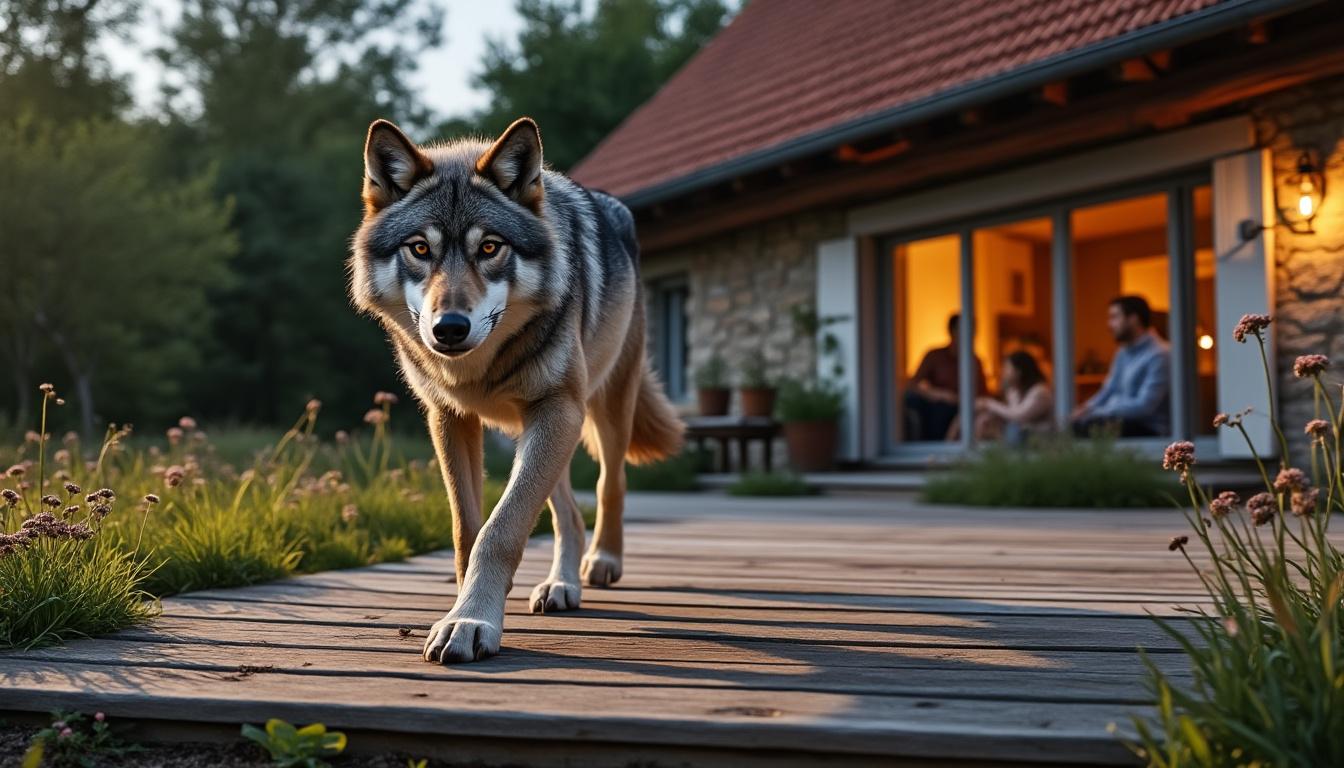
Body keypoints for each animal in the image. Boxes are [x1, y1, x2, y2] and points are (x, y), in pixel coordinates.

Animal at [347, 117, 684, 664]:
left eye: (489, 247)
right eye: (420, 248)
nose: (449, 329)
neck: (477, 371)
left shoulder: (557, 409)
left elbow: (500, 530)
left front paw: (470, 621)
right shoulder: (450, 418)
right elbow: (468, 529)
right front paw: (465, 606)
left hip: (598, 410)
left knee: (609, 484)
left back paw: (602, 561)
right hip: (541, 428)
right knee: (566, 511)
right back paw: (561, 585)